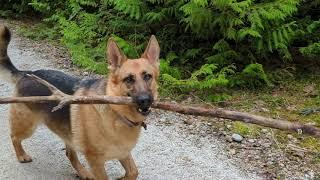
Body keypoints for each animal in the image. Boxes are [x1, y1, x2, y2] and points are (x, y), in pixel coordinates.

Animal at [0, 24, 160, 179]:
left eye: (147, 76)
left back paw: (83, 173)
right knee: (14, 137)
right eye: (129, 79)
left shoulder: (123, 152)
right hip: (26, 126)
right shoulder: (96, 161)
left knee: (70, 154)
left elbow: (133, 172)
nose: (145, 100)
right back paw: (21, 155)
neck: (116, 112)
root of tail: (27, 74)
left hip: (69, 135)